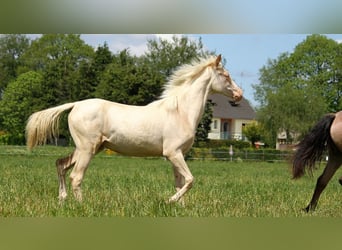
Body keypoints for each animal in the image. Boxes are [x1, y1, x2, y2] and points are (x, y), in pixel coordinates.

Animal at [26, 54, 243, 203]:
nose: (239, 95)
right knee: (76, 177)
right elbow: (190, 180)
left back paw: (62, 199)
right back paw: (82, 205)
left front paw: (179, 206)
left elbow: (180, 183)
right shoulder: (173, 153)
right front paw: (168, 201)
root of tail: (76, 105)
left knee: (61, 165)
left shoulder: (177, 155)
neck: (180, 112)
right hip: (87, 149)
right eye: (225, 75)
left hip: (87, 148)